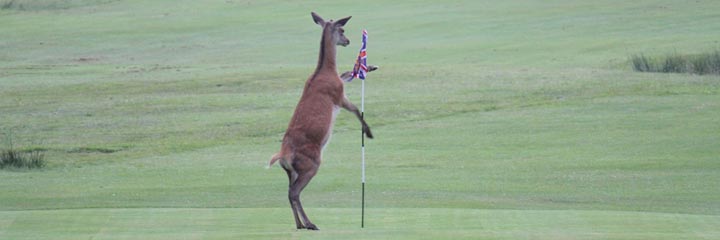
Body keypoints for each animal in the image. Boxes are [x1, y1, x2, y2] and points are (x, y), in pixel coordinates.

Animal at [268, 12, 374, 230]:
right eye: (342, 29)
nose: (347, 40)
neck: (325, 71)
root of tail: (283, 156)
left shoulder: (339, 86)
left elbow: (347, 74)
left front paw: (370, 66)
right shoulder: (338, 95)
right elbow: (355, 108)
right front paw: (368, 132)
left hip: (290, 171)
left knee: (289, 192)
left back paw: (300, 224)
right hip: (311, 164)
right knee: (294, 192)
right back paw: (310, 223)